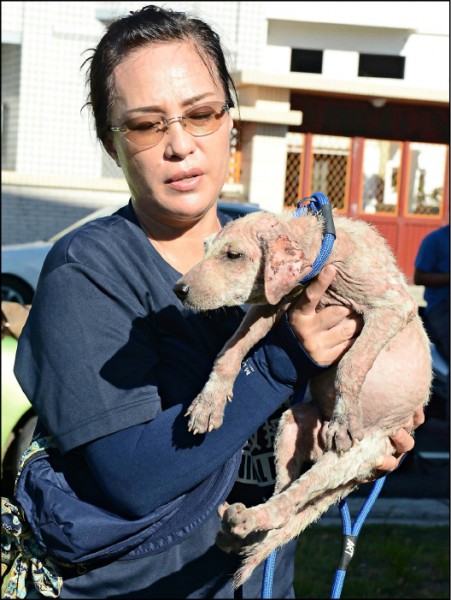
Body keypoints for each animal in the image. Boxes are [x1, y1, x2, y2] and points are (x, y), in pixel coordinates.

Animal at [174, 210, 434, 584]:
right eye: (204, 248)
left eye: (233, 255)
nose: (178, 290)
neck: (324, 248)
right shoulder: (271, 303)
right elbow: (231, 349)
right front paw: (209, 402)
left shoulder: (394, 305)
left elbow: (352, 362)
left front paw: (344, 419)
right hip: (294, 422)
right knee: (285, 493)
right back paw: (241, 530)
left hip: (354, 454)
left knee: (294, 497)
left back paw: (249, 520)